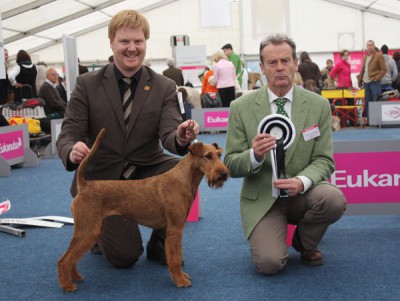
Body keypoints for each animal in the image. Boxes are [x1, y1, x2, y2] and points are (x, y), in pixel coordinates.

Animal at [57, 128, 230, 290]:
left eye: (219, 155)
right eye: (207, 156)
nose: (224, 173)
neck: (183, 179)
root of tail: (84, 185)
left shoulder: (176, 228)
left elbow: (176, 254)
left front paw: (181, 276)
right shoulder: (175, 229)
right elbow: (174, 258)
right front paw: (180, 280)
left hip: (92, 229)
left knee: (72, 257)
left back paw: (75, 277)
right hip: (87, 230)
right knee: (64, 259)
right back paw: (67, 285)